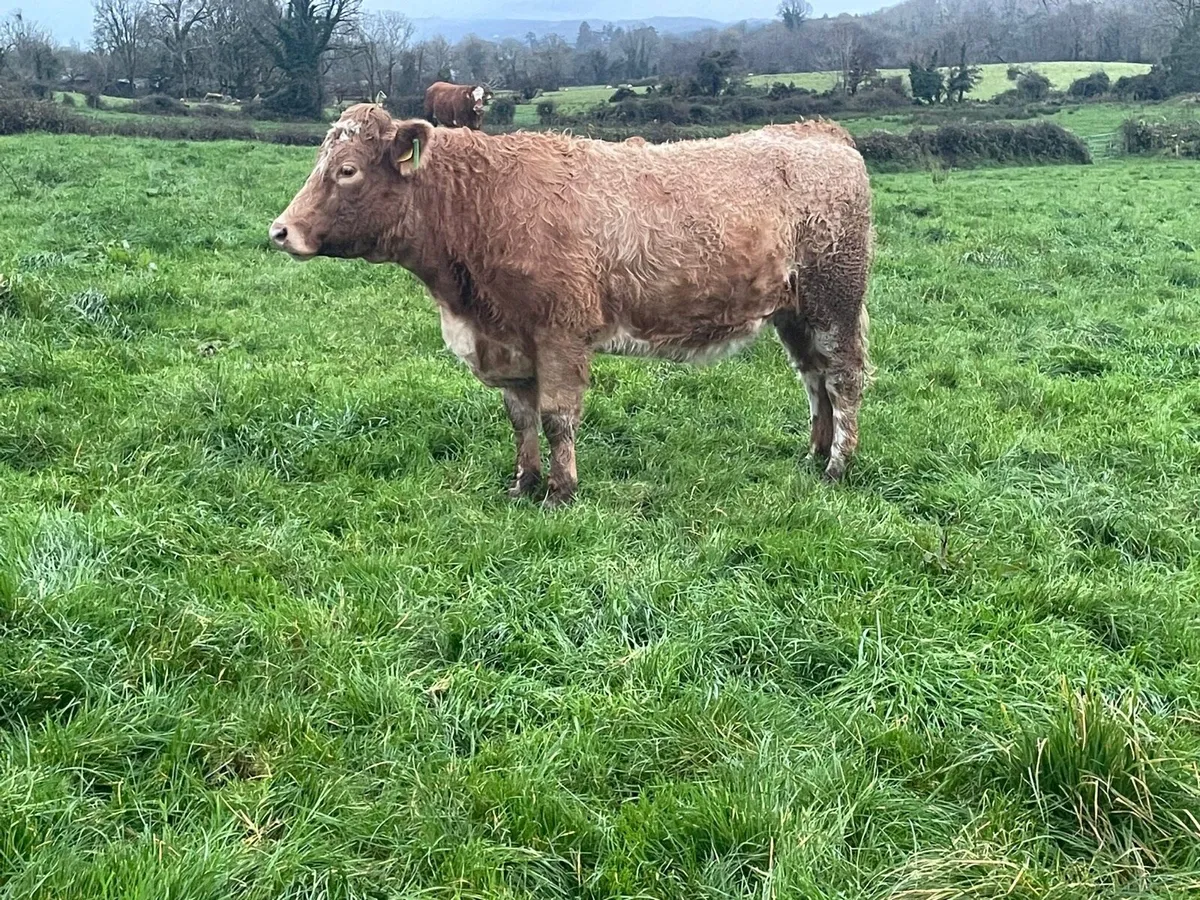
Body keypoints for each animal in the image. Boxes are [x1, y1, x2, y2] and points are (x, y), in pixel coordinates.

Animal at [269, 105, 873, 507]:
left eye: (347, 169)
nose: (280, 231)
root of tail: (819, 131)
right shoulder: (510, 341)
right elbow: (521, 418)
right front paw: (524, 483)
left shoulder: (559, 333)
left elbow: (557, 417)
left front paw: (561, 491)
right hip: (795, 314)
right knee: (814, 380)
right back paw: (814, 454)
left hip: (836, 303)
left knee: (843, 380)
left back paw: (837, 466)